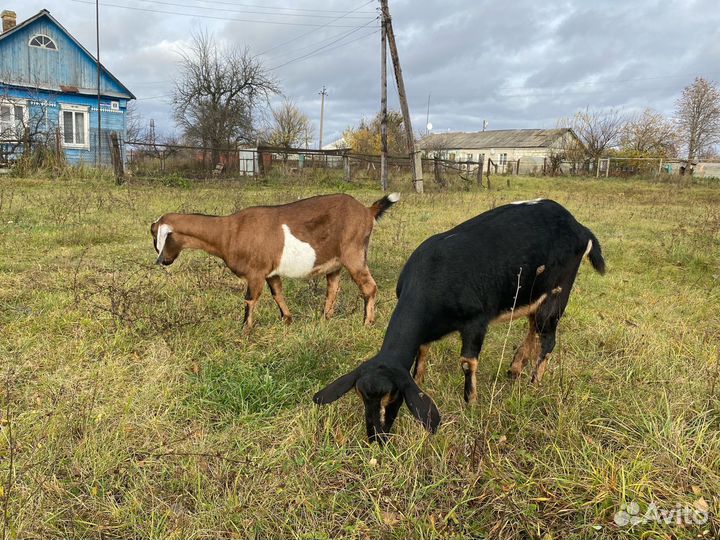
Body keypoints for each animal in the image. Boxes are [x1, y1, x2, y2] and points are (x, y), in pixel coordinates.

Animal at [150, 193, 399, 328]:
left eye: (159, 237)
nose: (162, 262)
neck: (229, 232)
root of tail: (367, 211)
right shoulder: (270, 272)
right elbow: (277, 293)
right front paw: (287, 319)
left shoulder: (256, 272)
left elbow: (250, 299)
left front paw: (245, 330)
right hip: (334, 260)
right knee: (333, 287)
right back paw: (325, 317)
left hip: (353, 252)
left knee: (369, 286)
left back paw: (367, 322)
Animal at [313, 199, 605, 443]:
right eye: (361, 396)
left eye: (392, 397)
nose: (376, 438)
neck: (431, 280)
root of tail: (580, 228)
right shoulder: (428, 332)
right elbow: (421, 353)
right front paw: (421, 379)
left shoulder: (476, 322)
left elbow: (467, 362)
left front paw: (471, 402)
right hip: (533, 294)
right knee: (533, 327)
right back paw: (515, 368)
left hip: (558, 292)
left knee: (547, 337)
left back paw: (534, 383)